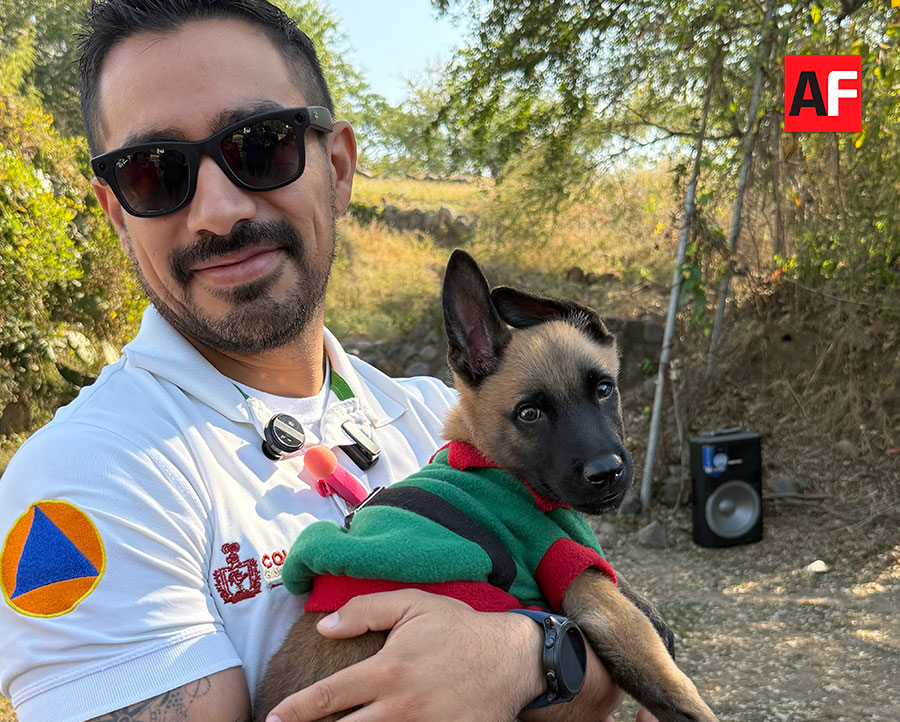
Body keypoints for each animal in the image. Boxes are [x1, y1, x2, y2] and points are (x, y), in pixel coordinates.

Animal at [255, 250, 717, 722]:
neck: (493, 462)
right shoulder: (575, 577)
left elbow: (622, 583)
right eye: (529, 414)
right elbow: (679, 696)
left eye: (605, 389)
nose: (607, 471)